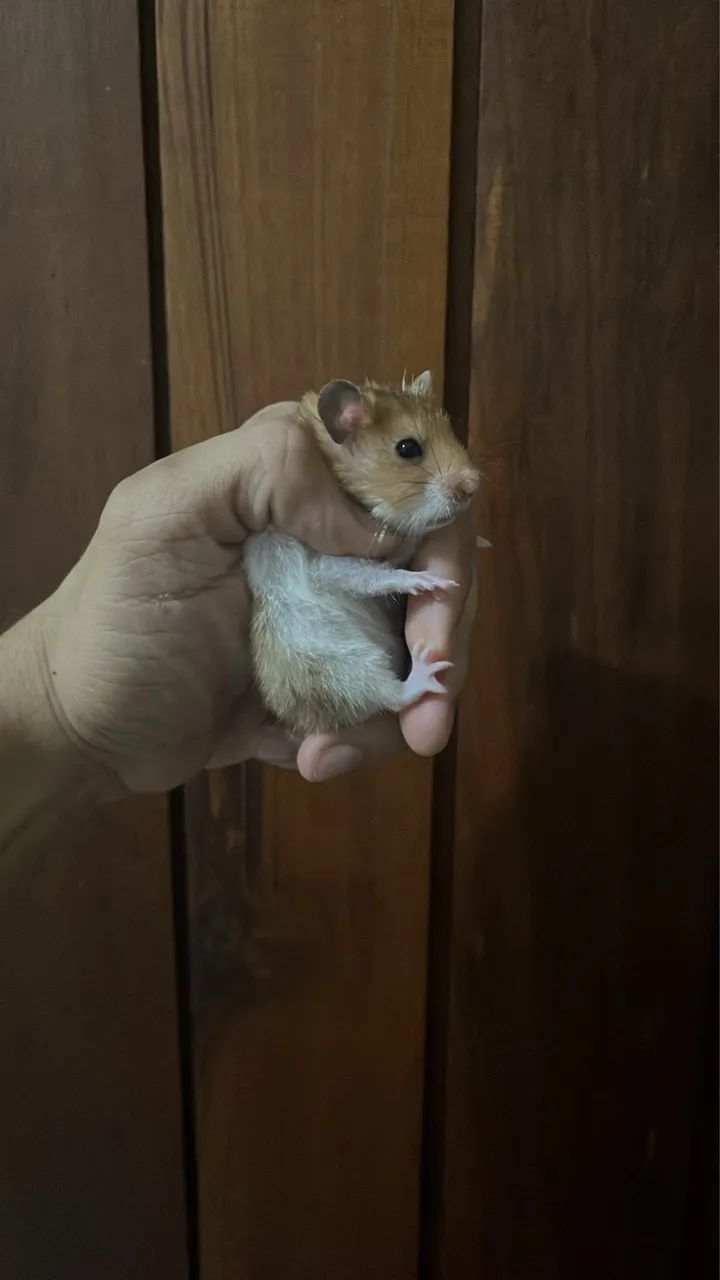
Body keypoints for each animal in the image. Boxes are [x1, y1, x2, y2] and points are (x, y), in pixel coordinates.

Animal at [243, 371, 479, 737]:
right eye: (407, 448)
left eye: (449, 430)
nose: (474, 486)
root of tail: (305, 723)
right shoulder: (324, 561)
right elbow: (374, 573)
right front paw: (430, 581)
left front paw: (480, 540)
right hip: (342, 667)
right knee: (391, 695)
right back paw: (424, 672)